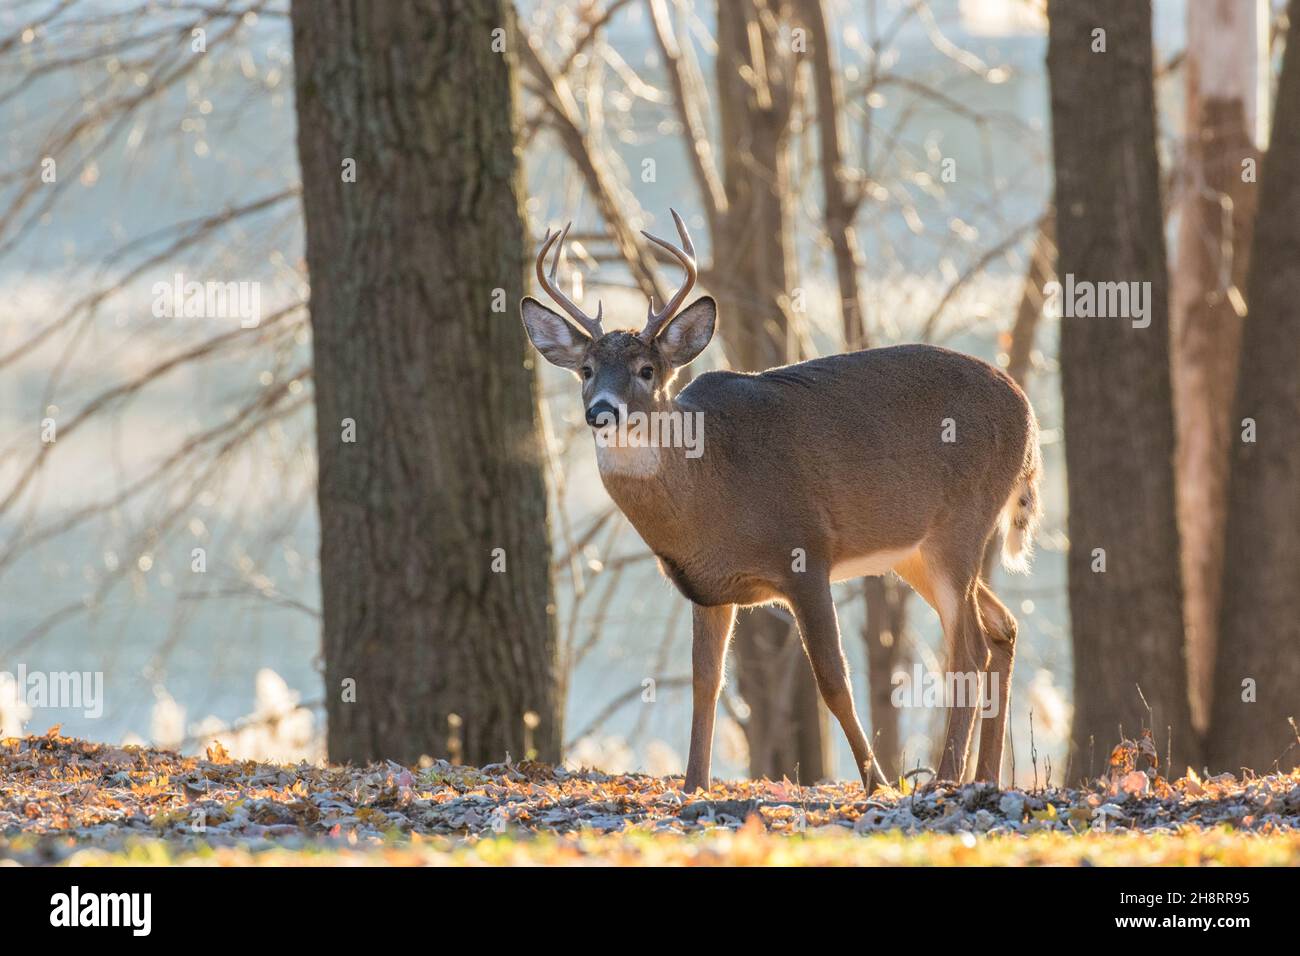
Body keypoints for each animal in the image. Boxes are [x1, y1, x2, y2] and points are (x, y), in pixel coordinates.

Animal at [520, 210, 1042, 793]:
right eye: (586, 370)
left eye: (646, 370)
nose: (601, 411)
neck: (712, 484)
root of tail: (1029, 415)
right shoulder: (707, 588)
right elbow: (707, 681)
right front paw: (693, 784)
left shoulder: (806, 553)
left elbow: (833, 680)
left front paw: (878, 783)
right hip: (915, 553)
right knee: (1002, 628)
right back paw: (986, 776)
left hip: (962, 522)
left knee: (969, 648)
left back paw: (946, 778)